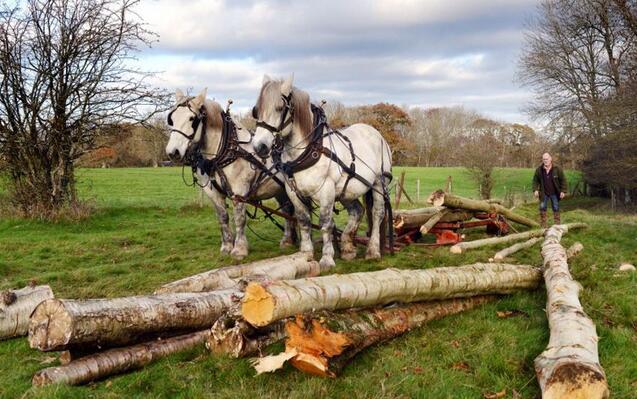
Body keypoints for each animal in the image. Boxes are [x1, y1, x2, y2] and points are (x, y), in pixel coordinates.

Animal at [163, 88, 294, 260]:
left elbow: (239, 218)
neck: (223, 152)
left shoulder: (239, 191)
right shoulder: (213, 192)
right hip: (280, 189)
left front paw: (239, 249)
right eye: (172, 119)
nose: (173, 152)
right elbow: (223, 217)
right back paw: (289, 240)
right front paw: (226, 246)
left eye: (192, 119)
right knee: (288, 209)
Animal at [250, 75, 390, 268]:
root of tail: (375, 132)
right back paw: (348, 248)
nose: (259, 147)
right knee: (357, 211)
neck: (307, 151)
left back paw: (373, 250)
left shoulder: (326, 191)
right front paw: (306, 253)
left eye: (279, 108)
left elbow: (325, 223)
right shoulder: (294, 192)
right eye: (256, 111)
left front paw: (327, 258)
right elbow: (303, 221)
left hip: (379, 182)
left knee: (377, 214)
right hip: (348, 190)